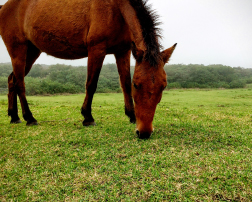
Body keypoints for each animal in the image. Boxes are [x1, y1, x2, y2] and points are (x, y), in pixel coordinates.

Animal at [0, 0, 176, 139]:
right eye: (137, 85)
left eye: (163, 86)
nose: (144, 132)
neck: (115, 7)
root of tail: (5, 7)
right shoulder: (96, 49)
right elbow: (91, 84)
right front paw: (88, 117)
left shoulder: (122, 51)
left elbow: (124, 83)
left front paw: (131, 116)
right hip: (18, 51)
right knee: (20, 83)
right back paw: (29, 118)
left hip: (32, 52)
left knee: (11, 80)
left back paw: (14, 116)